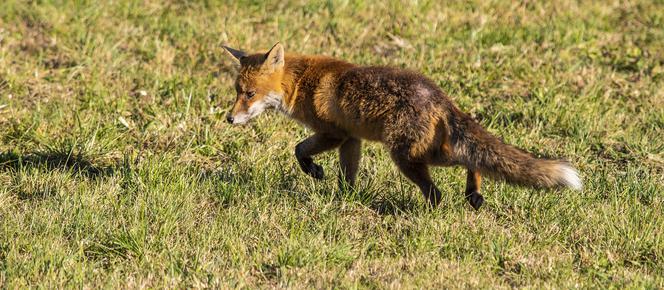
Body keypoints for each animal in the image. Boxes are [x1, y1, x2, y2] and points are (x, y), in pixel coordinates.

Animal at [223, 42, 580, 208]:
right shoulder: (351, 138)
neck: (301, 83)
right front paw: (346, 199)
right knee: (473, 159)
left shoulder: (333, 132)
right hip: (425, 152)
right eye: (237, 92)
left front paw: (314, 171)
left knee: (442, 187)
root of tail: (440, 97)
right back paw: (473, 195)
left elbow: (298, 149)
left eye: (249, 94)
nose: (229, 118)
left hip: (407, 156)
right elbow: (347, 176)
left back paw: (430, 213)